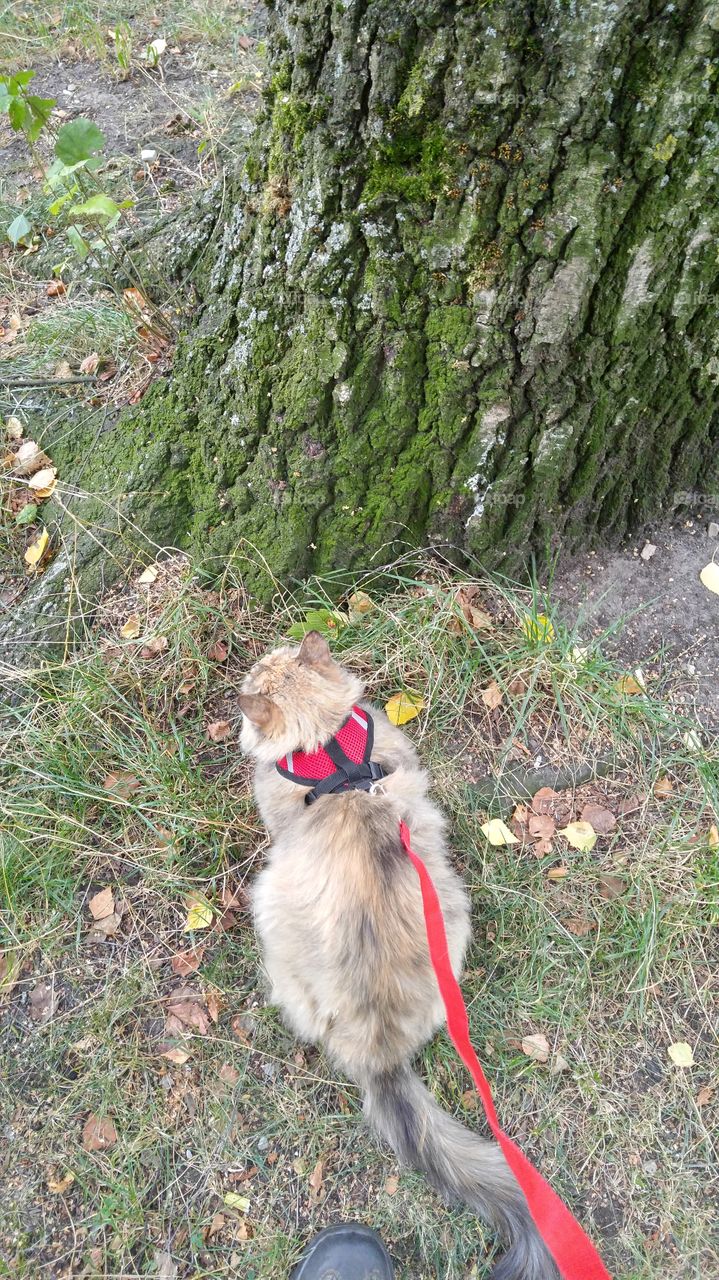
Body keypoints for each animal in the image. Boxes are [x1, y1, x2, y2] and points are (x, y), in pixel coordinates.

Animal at [237, 632, 557, 1280]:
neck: (327, 751)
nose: (256, 661)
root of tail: (378, 1051)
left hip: (269, 906)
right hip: (452, 915)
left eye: (258, 673)